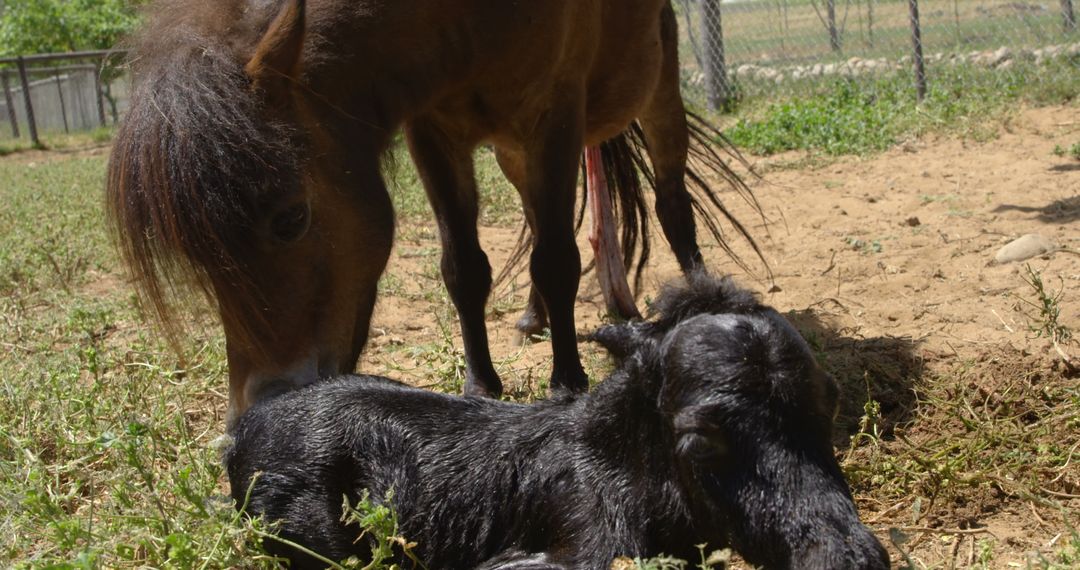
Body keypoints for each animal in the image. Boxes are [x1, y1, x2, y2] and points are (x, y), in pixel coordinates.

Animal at [107, 0, 759, 427]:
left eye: (291, 219)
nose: (264, 404)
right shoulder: (434, 131)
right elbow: (464, 269)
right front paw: (480, 385)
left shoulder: (553, 116)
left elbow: (557, 260)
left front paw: (566, 384)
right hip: (513, 152)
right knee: (536, 217)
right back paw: (533, 318)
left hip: (655, 95)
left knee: (671, 204)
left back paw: (702, 295)